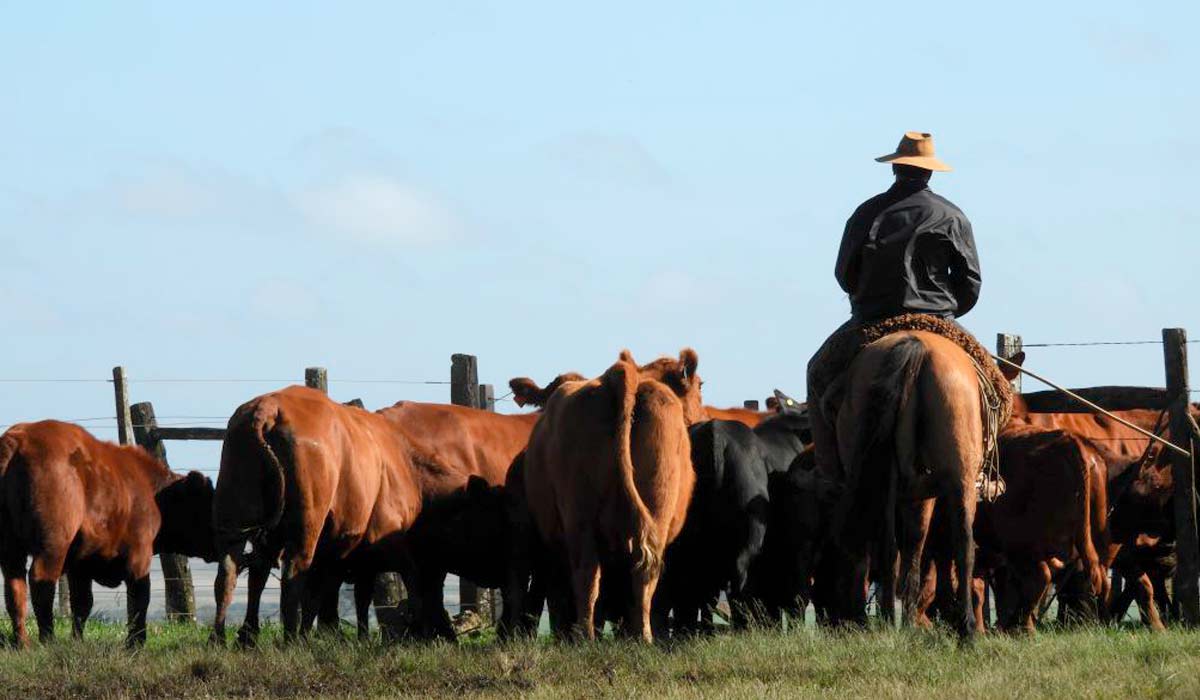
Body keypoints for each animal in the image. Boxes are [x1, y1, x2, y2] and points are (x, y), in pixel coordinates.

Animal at [0, 422, 213, 648]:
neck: (151, 491)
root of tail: (17, 440)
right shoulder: (139, 557)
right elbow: (139, 600)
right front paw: (135, 643)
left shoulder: (80, 566)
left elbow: (82, 604)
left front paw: (78, 641)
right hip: (52, 546)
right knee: (41, 582)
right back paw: (48, 641)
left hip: (11, 551)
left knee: (15, 590)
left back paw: (23, 644)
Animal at [213, 389, 424, 648]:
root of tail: (268, 408)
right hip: (305, 527)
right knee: (293, 575)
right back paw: (291, 639)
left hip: (234, 522)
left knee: (230, 572)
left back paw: (230, 637)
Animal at [525, 348, 700, 638]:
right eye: (700, 387)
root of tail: (620, 376)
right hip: (641, 512)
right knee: (621, 574)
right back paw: (623, 636)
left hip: (584, 516)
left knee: (599, 573)